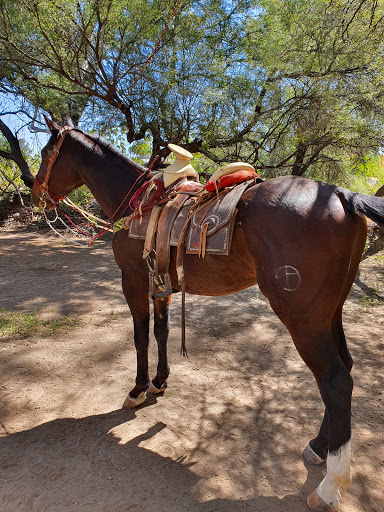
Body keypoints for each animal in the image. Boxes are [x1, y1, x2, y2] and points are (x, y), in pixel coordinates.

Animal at [33, 118, 384, 510]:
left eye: (47, 153)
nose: (34, 193)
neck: (138, 202)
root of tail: (340, 194)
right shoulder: (161, 284)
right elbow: (161, 332)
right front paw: (160, 381)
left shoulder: (133, 281)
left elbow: (140, 337)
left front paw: (137, 390)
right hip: (330, 312)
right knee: (344, 370)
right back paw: (319, 447)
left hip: (303, 320)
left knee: (335, 382)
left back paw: (329, 486)